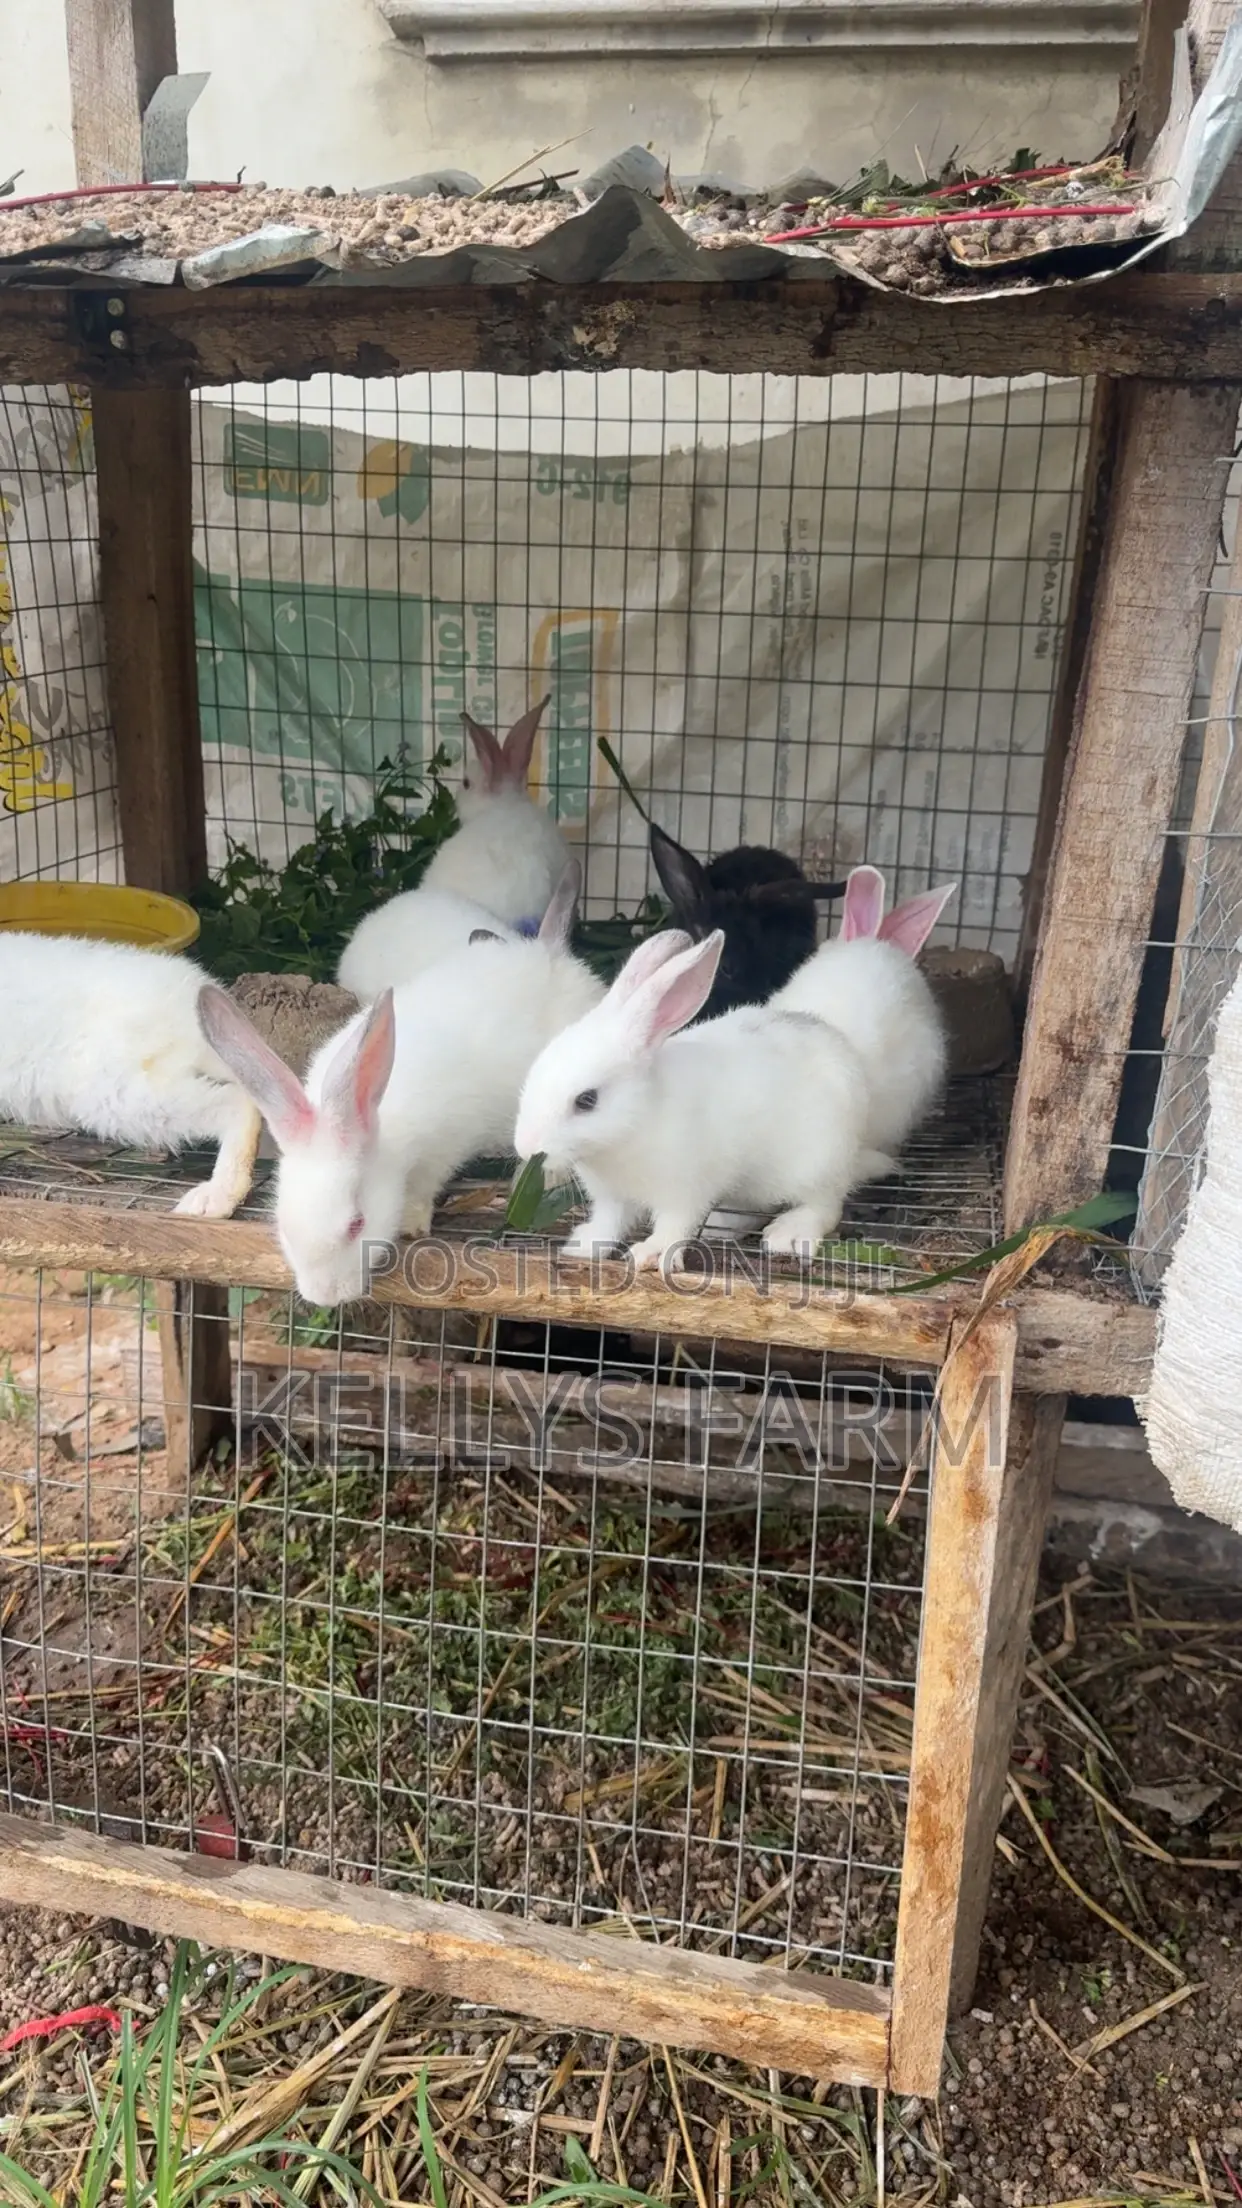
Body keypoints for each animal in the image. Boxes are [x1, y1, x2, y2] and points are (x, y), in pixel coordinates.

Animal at [514, 928, 891, 1273]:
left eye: (586, 1100)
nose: (526, 1149)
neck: (635, 1125)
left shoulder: (684, 1190)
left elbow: (674, 1225)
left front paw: (650, 1254)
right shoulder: (612, 1198)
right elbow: (610, 1222)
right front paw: (582, 1245)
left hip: (815, 1164)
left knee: (825, 1205)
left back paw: (789, 1235)